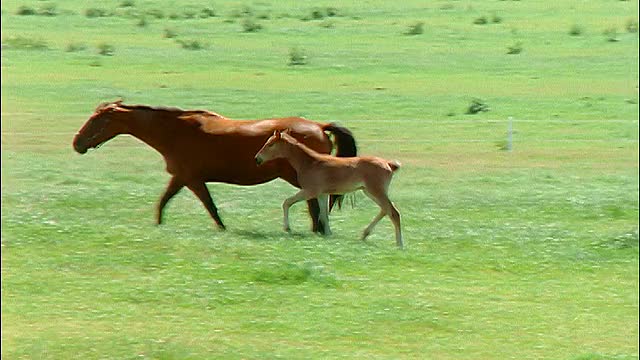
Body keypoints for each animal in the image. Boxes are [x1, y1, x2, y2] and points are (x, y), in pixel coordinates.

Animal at [74, 100, 360, 233]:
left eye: (97, 120)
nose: (77, 143)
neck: (174, 132)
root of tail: (319, 125)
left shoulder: (191, 179)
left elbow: (209, 206)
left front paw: (222, 229)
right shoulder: (180, 178)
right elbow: (163, 202)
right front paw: (158, 226)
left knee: (316, 204)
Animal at [255, 131, 404, 249]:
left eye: (270, 144)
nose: (257, 159)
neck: (310, 163)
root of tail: (388, 164)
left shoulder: (310, 191)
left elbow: (287, 202)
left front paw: (287, 228)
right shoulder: (322, 194)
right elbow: (324, 214)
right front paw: (328, 235)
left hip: (375, 191)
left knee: (393, 212)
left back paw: (399, 244)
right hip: (369, 191)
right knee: (385, 210)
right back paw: (364, 234)